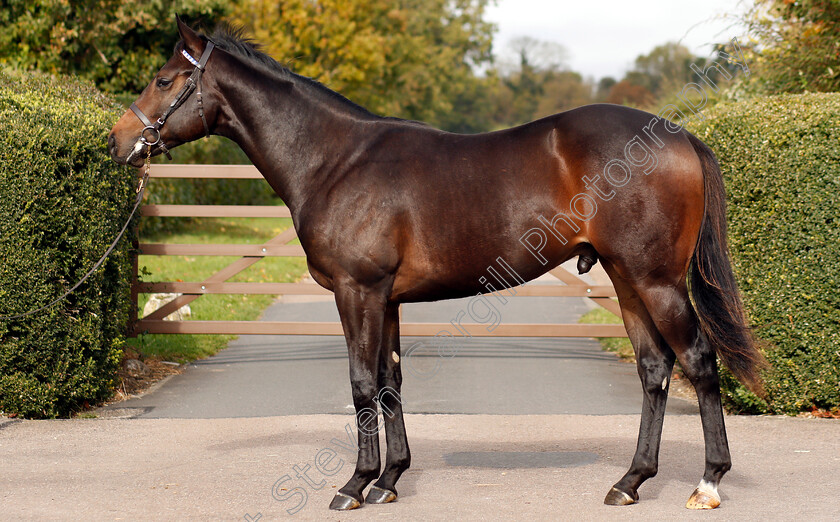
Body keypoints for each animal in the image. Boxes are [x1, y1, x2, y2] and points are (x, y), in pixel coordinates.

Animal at [108, 19, 764, 508]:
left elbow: (361, 382)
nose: (118, 143)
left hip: (657, 281)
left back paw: (707, 483)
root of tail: (676, 135)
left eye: (164, 80)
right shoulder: (387, 298)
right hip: (628, 281)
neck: (334, 159)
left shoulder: (357, 290)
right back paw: (629, 482)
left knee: (698, 361)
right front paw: (390, 480)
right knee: (655, 369)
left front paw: (353, 485)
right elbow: (390, 382)